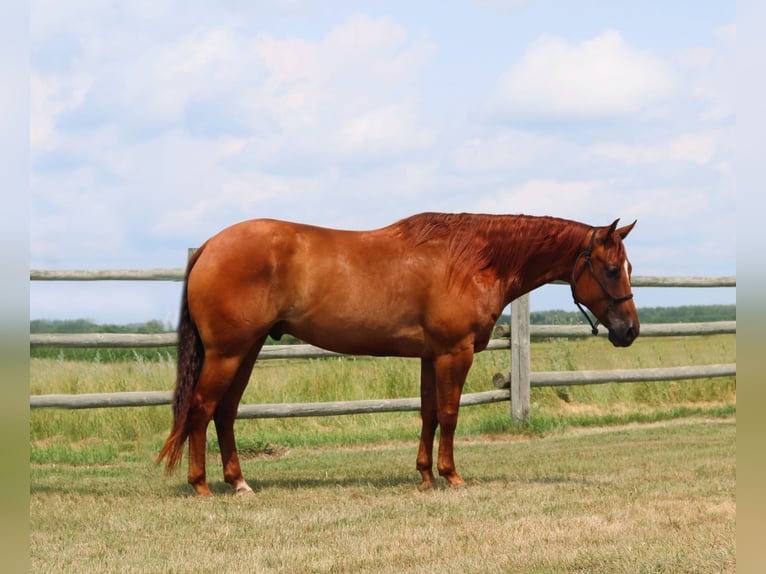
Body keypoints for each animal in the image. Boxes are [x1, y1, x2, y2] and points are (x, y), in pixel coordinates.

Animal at [158, 214, 640, 498]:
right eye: (611, 269)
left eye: (628, 267)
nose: (630, 330)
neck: (470, 259)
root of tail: (211, 245)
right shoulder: (454, 353)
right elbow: (449, 413)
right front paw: (451, 475)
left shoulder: (432, 356)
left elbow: (428, 412)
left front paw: (425, 475)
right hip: (228, 353)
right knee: (201, 409)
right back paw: (201, 485)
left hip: (248, 350)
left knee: (224, 412)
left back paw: (239, 482)